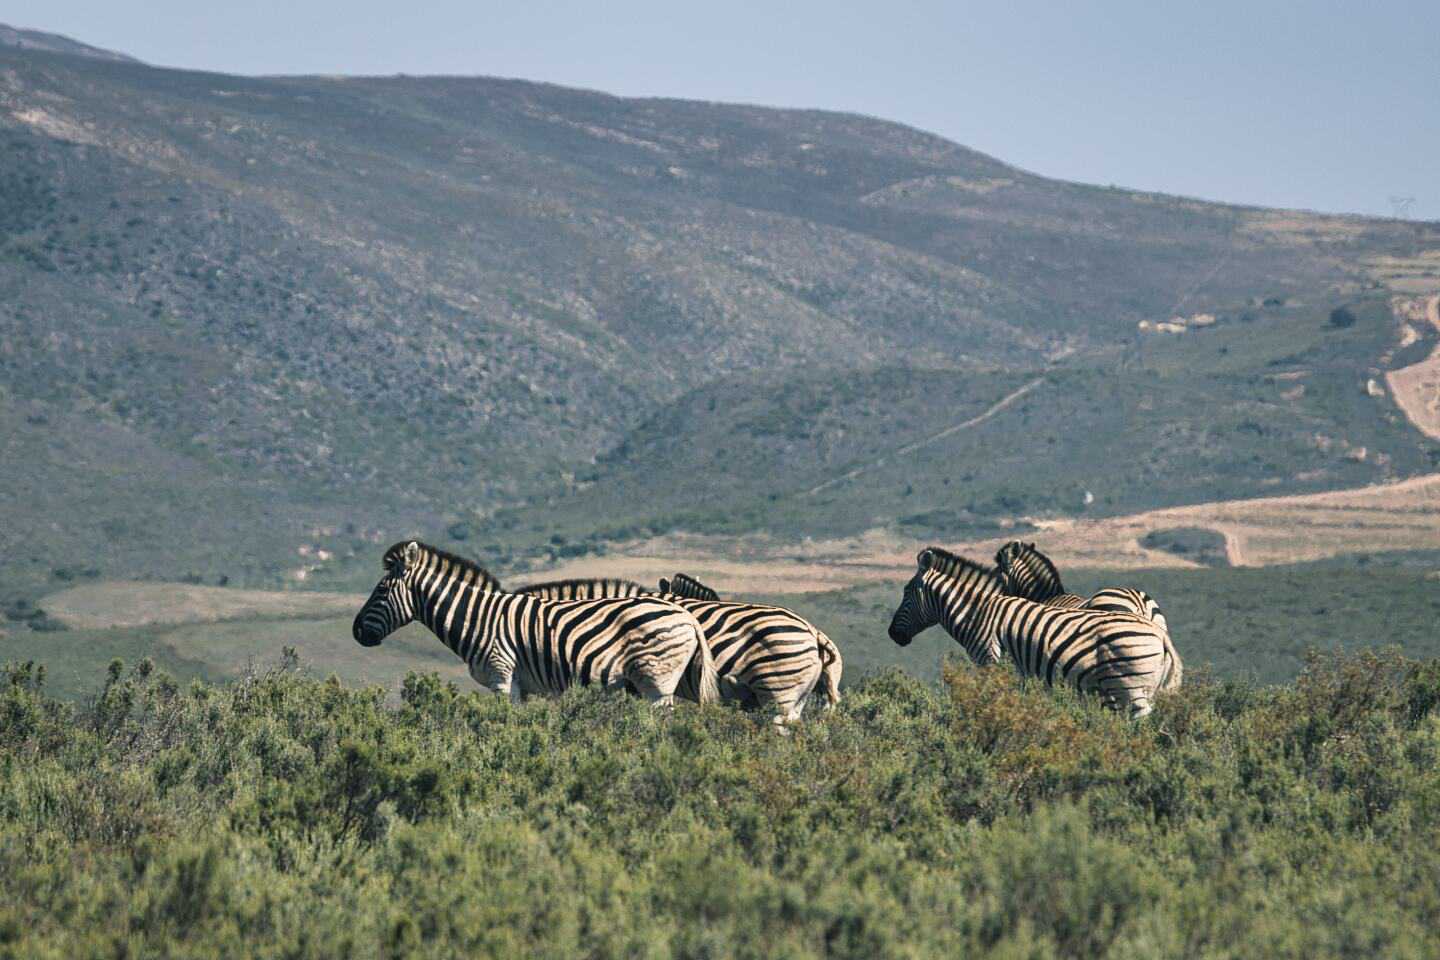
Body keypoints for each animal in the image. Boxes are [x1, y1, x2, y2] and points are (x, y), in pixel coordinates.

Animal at [352, 544, 720, 711]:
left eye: (381, 591)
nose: (356, 632)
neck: (479, 618)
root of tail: (686, 615)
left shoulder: (502, 676)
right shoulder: (523, 686)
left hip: (656, 681)